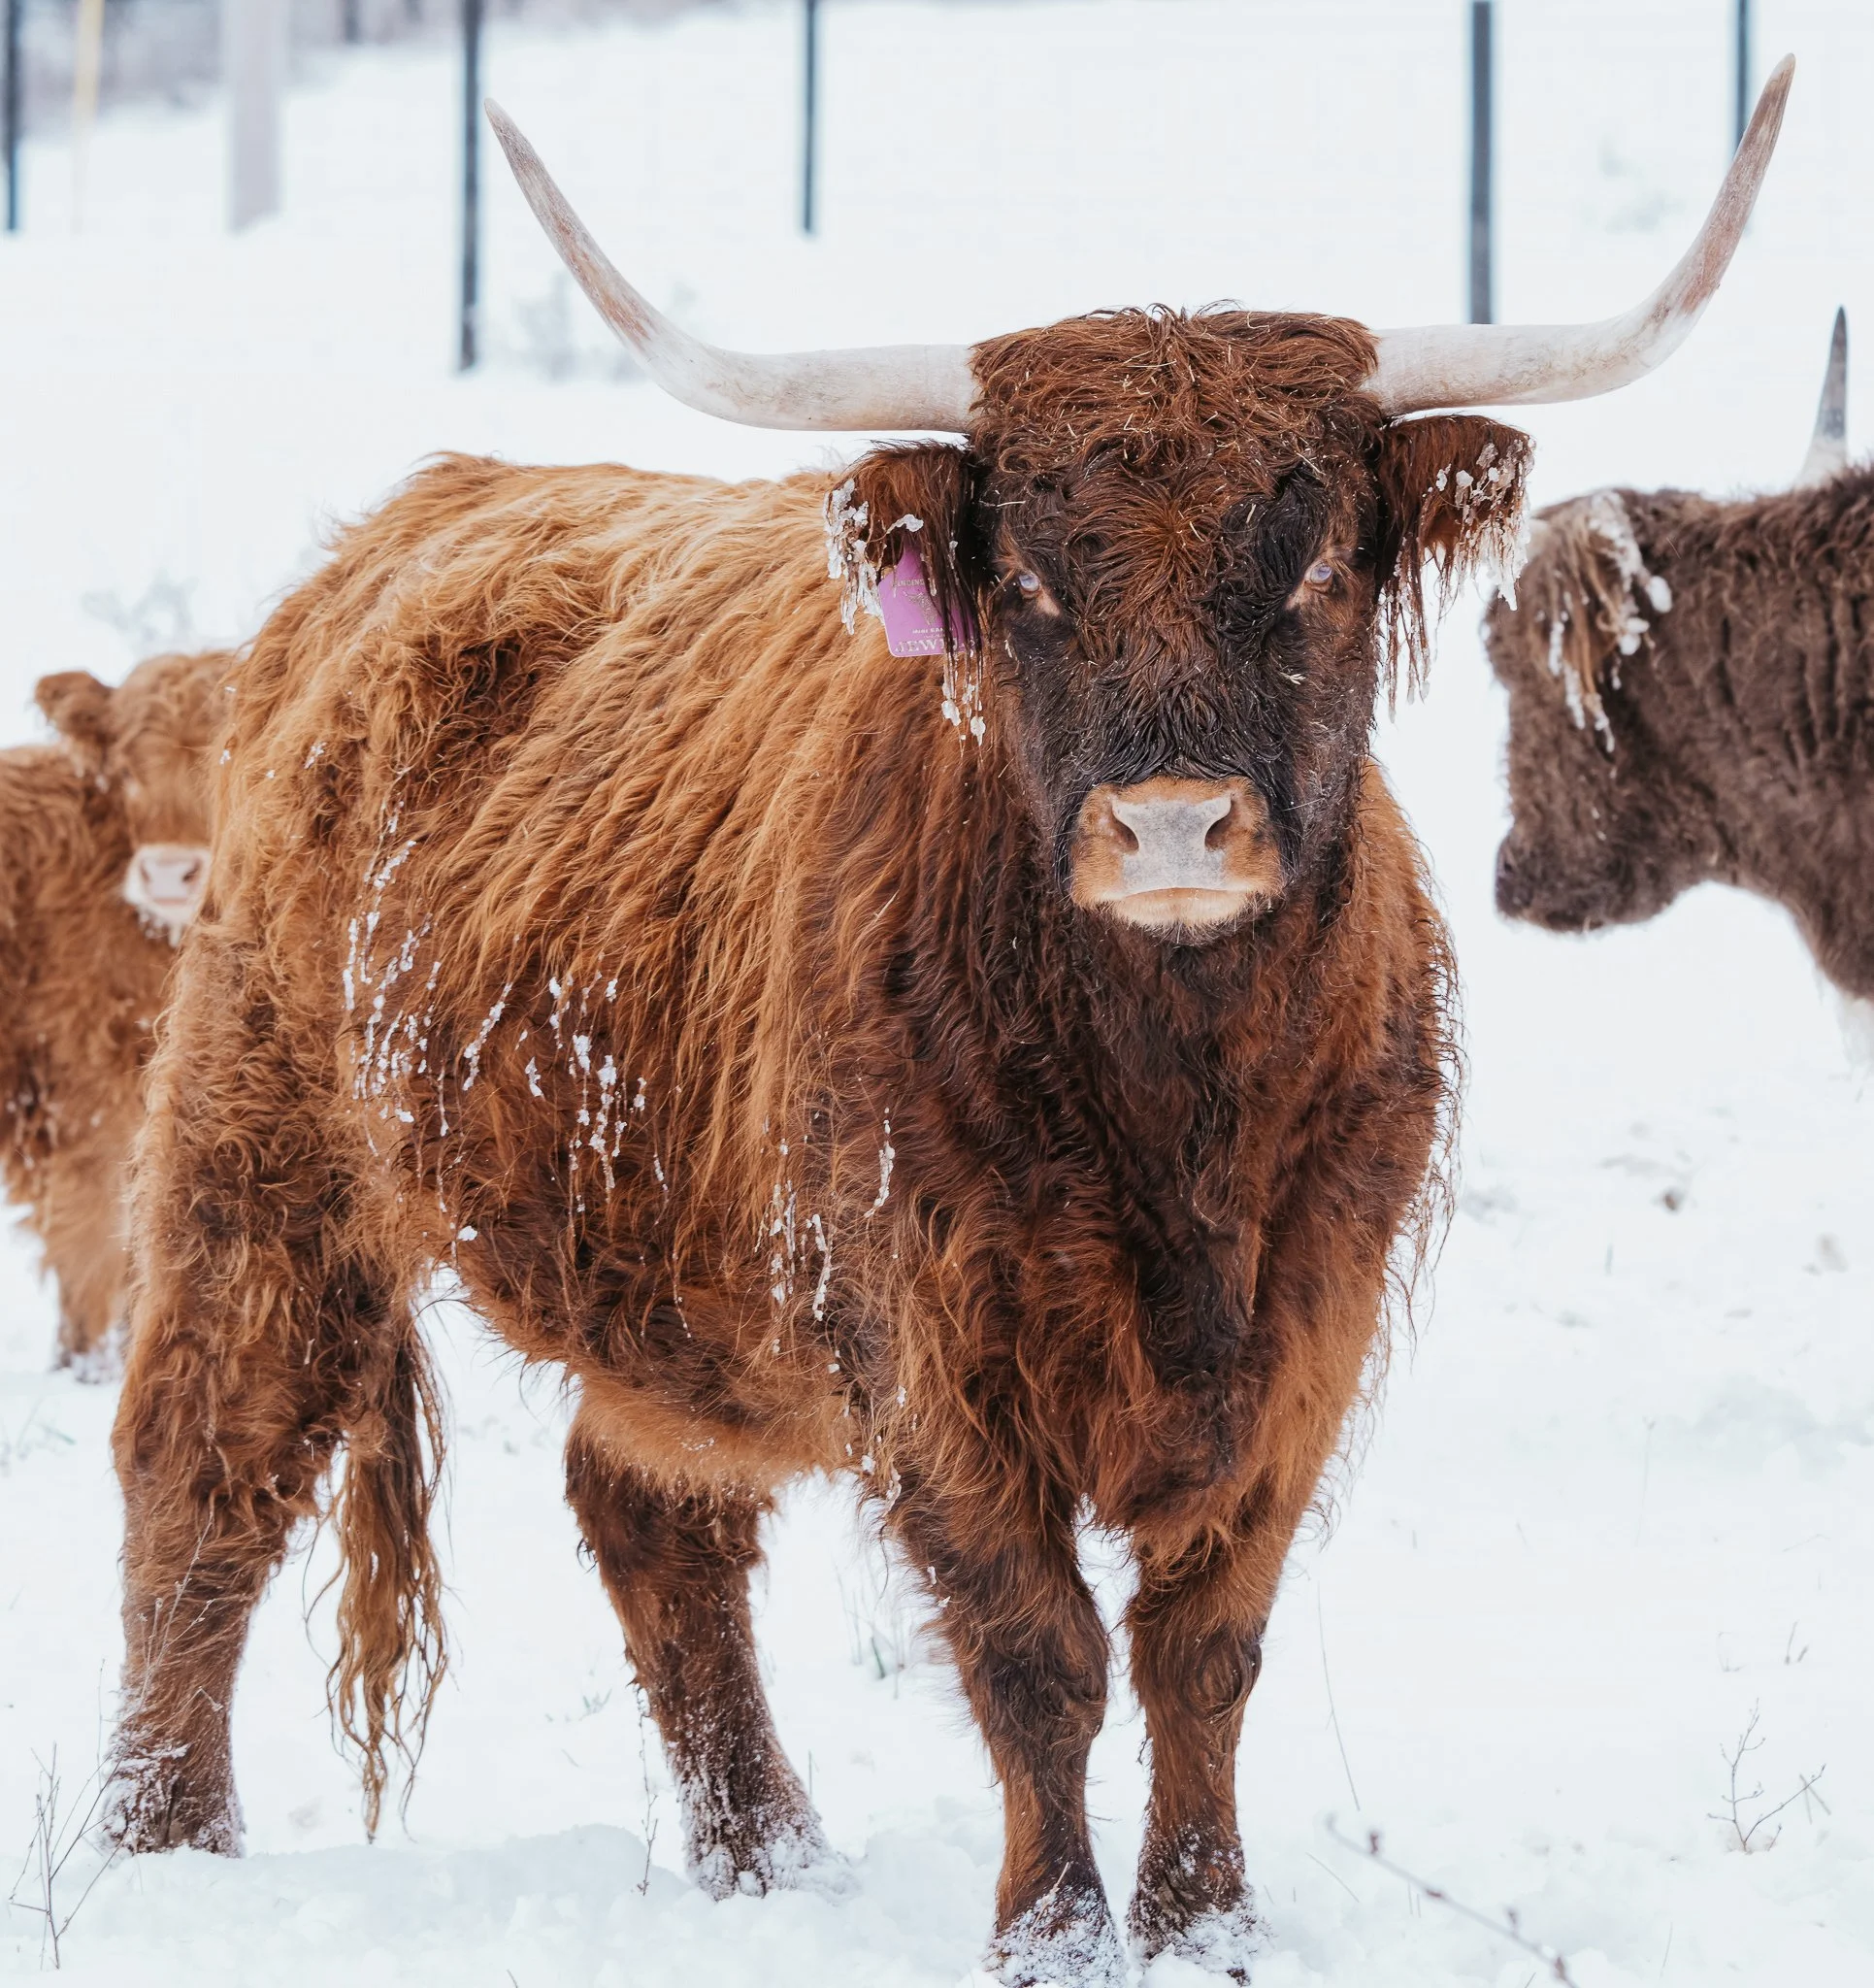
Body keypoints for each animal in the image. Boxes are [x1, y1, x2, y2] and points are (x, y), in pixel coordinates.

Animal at [102, 69, 1791, 1986]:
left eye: (1316, 563)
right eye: (1032, 578)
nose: (1174, 827)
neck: (1178, 1107)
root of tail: (403, 523)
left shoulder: (1311, 1318)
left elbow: (1205, 1646)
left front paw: (1206, 1922)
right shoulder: (932, 1336)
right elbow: (1034, 1650)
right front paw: (1053, 1932)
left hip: (671, 1274)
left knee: (646, 1505)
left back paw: (767, 1856)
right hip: (266, 1152)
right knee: (204, 1475)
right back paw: (168, 1850)